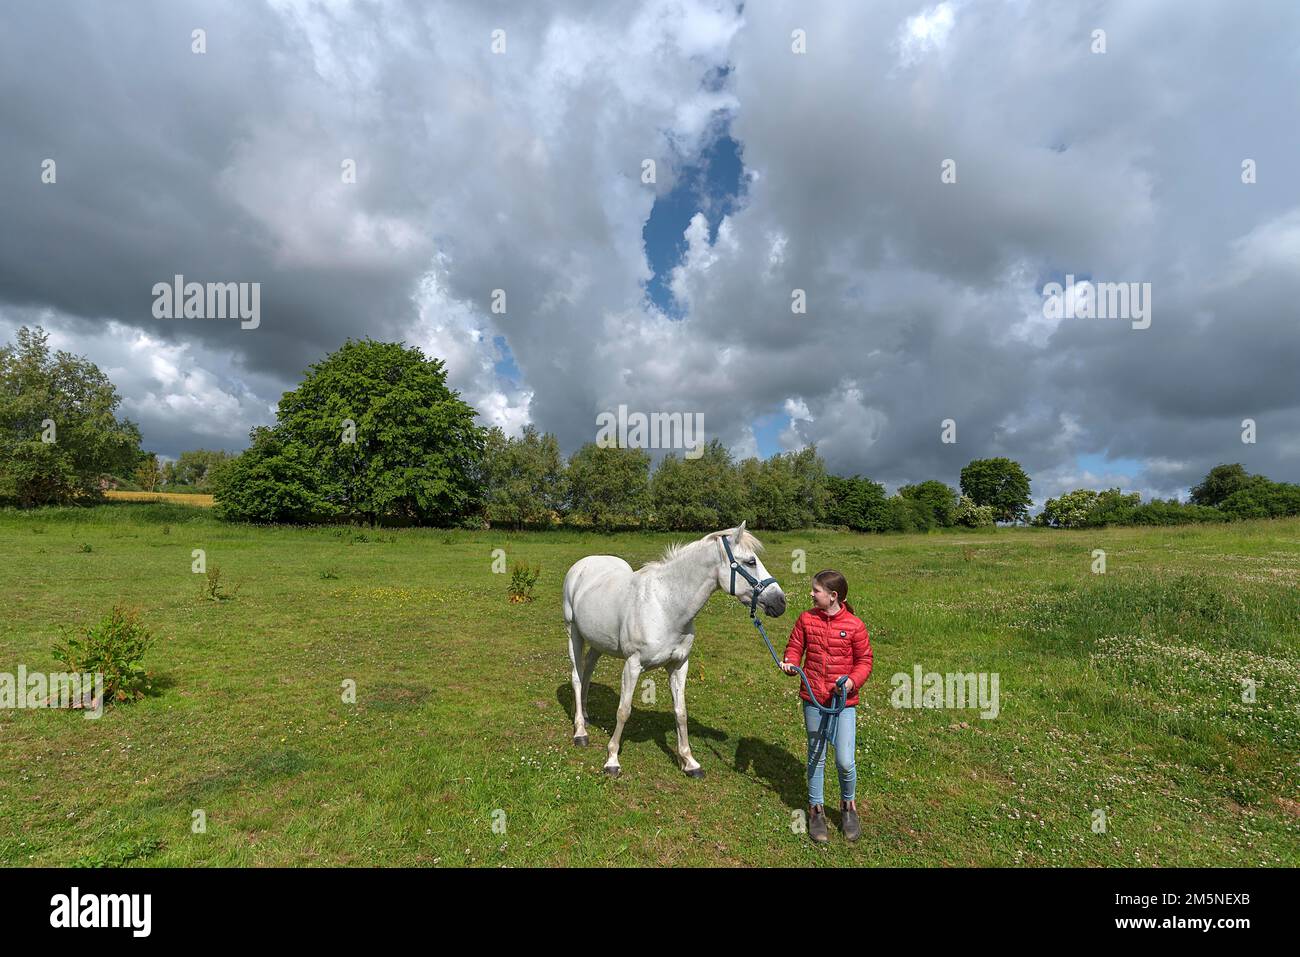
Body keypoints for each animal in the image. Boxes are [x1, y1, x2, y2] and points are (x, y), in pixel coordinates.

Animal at [556, 522, 780, 780]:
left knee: (588, 672)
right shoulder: (632, 666)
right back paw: (580, 732)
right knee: (576, 676)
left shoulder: (679, 665)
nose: (780, 602)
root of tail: (583, 564)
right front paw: (612, 760)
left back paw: (583, 715)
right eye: (751, 562)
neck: (665, 606)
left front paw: (690, 763)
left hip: (598, 641)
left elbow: (680, 712)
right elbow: (623, 710)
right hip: (573, 632)